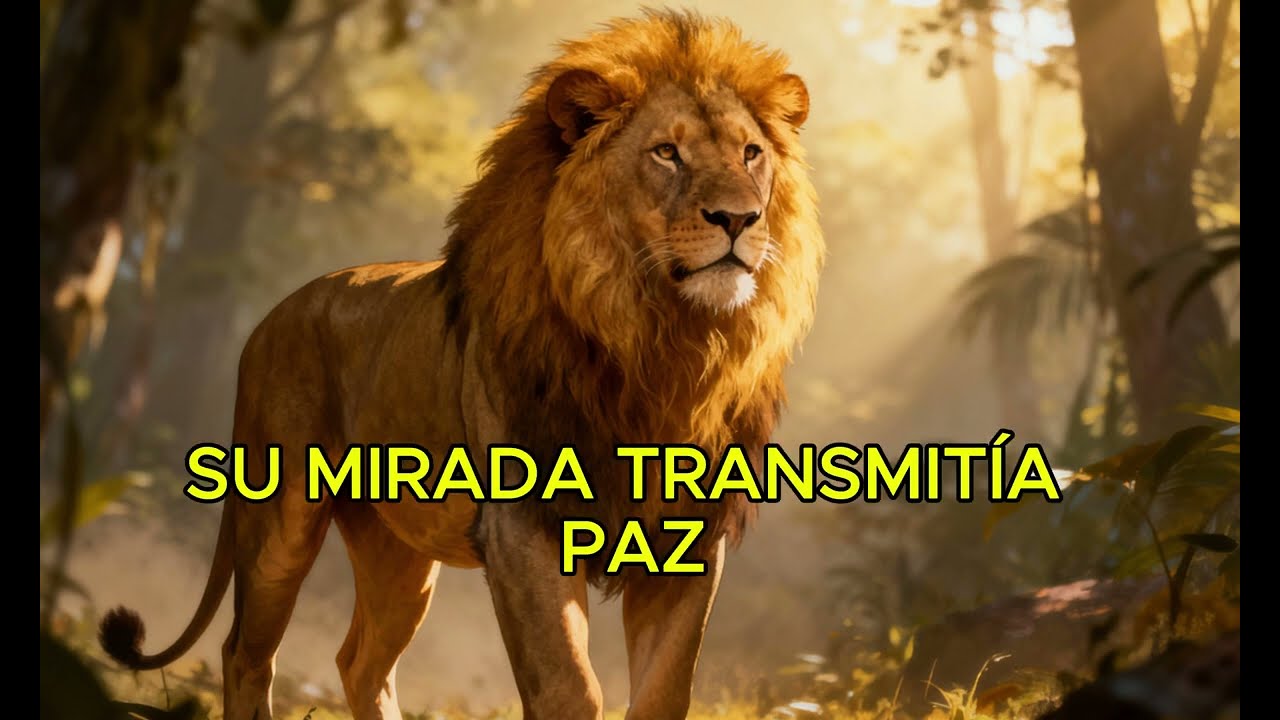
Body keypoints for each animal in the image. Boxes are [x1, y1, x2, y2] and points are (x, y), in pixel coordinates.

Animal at [99, 10, 823, 720]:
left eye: (751, 153)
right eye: (666, 153)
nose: (740, 218)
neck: (663, 339)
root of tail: (273, 314)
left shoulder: (689, 538)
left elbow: (665, 692)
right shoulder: (523, 528)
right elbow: (569, 685)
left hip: (398, 554)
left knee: (359, 663)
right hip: (281, 520)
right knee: (245, 654)